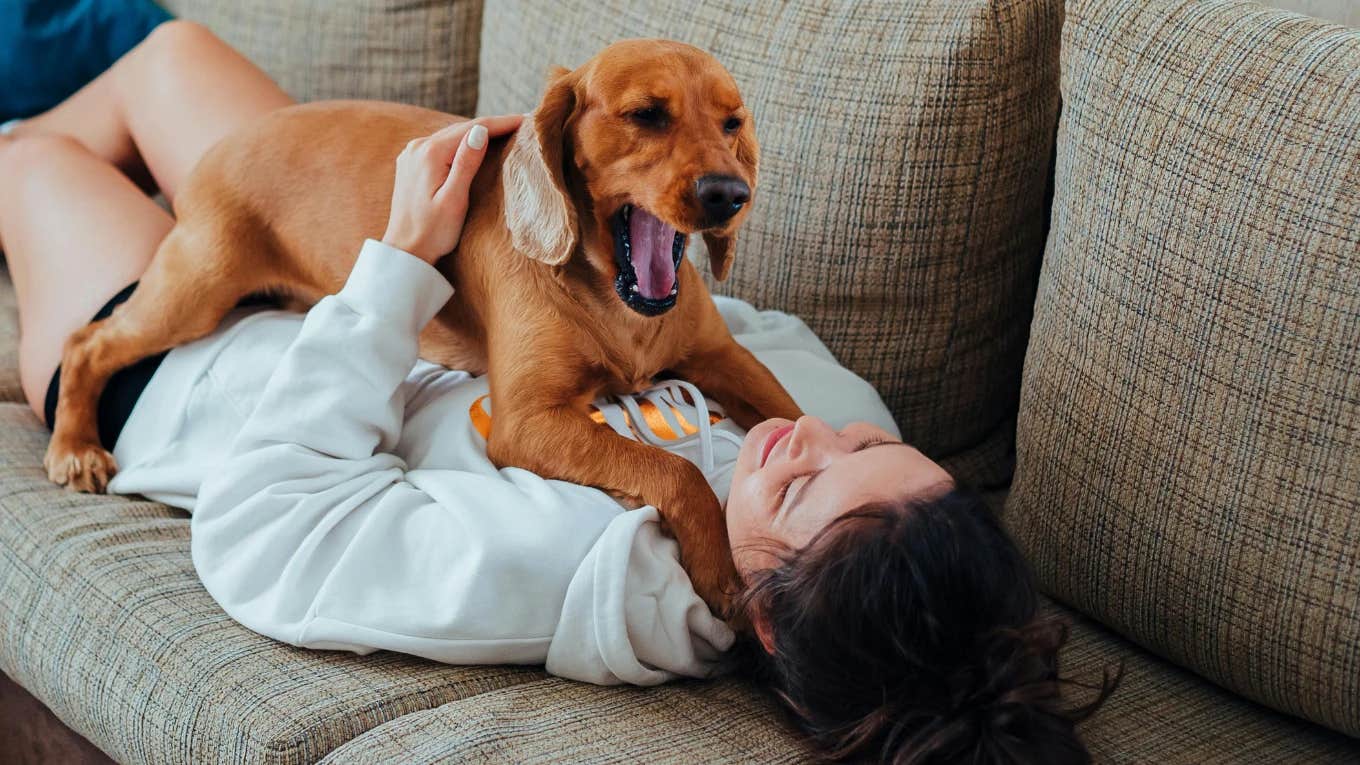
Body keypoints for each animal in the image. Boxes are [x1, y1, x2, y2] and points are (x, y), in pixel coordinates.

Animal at [47, 40, 799, 612]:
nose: (730, 194)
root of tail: (224, 144)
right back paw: (75, 445)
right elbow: (674, 470)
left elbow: (790, 415)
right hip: (195, 290)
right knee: (86, 342)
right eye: (646, 115)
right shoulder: (528, 420)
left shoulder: (726, 358)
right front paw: (721, 572)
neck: (616, 300)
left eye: (733, 123)